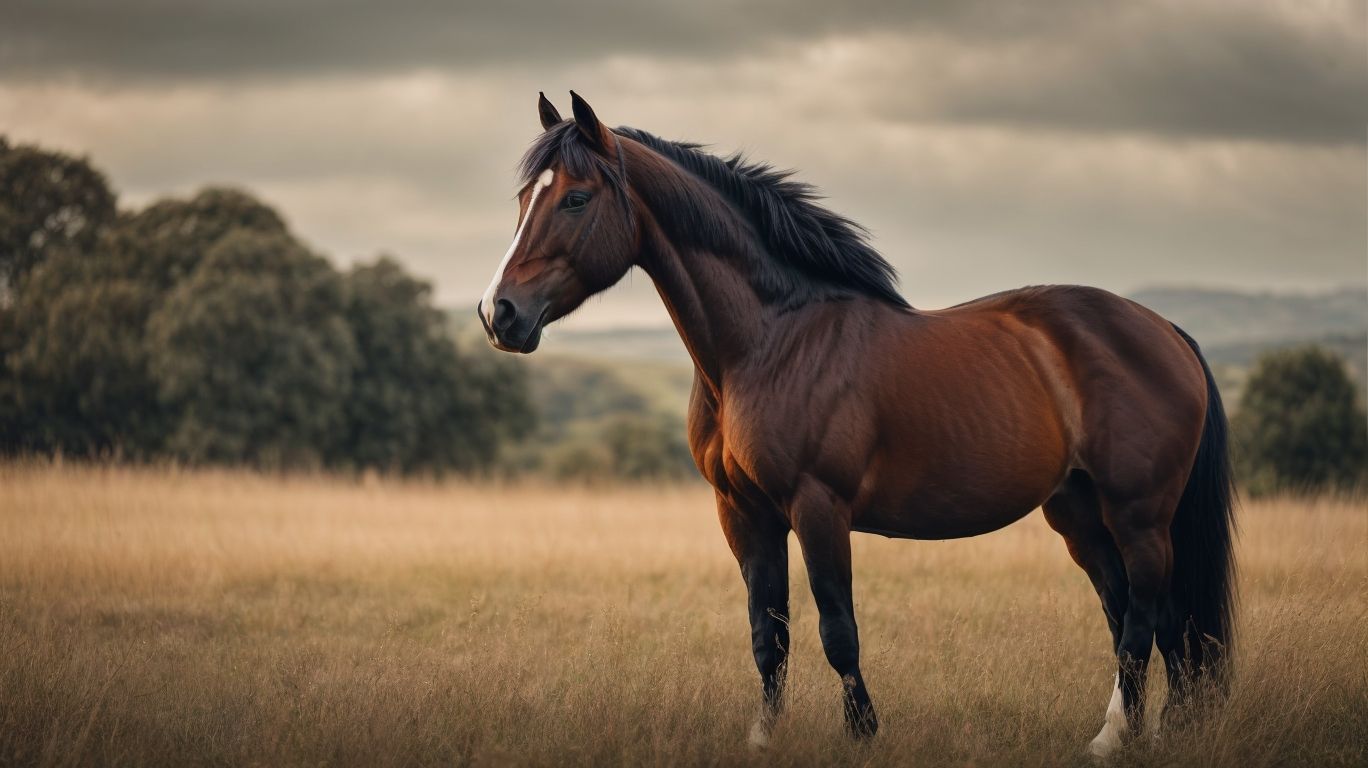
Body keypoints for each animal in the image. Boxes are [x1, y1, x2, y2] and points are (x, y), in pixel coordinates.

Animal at [476, 91, 1236, 758]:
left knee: (1146, 617)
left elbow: (837, 628)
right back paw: (1149, 733)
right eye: (523, 199)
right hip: (1079, 513)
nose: (498, 313)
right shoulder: (743, 512)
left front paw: (863, 734)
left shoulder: (819, 507)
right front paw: (763, 739)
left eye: (576, 198)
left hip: (1138, 514)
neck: (770, 342)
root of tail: (1163, 329)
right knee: (1143, 619)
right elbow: (768, 634)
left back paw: (1111, 740)